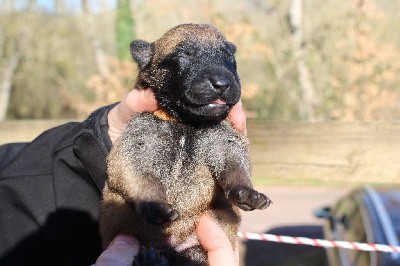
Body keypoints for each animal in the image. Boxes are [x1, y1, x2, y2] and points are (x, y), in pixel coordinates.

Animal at [100, 23, 272, 264]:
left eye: (230, 57)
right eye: (183, 56)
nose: (223, 83)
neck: (186, 123)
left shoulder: (226, 143)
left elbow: (236, 166)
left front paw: (248, 192)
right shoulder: (133, 147)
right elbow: (143, 178)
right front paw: (156, 206)